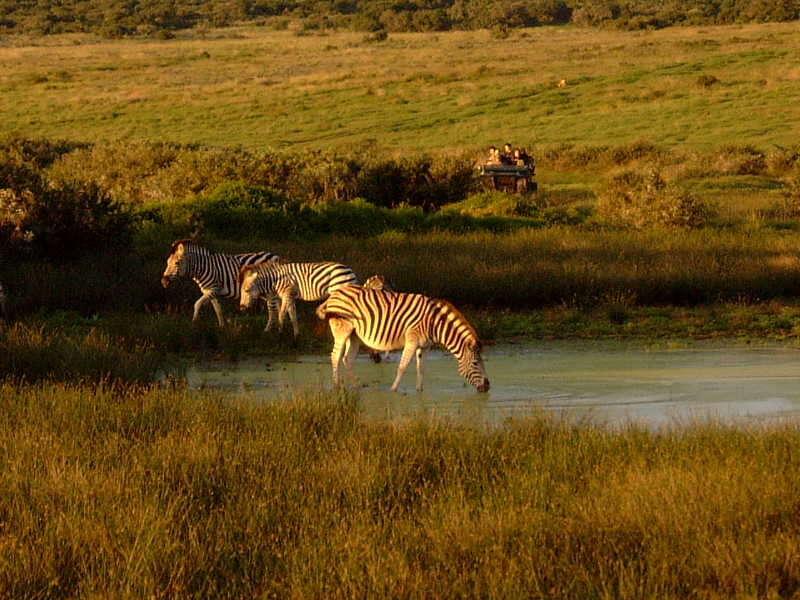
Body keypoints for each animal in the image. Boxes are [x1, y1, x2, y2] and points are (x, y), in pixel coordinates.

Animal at [316, 286, 490, 394]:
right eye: (475, 363)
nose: (488, 387)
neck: (434, 324)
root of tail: (334, 294)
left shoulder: (424, 347)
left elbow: (421, 368)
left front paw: (420, 391)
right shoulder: (412, 340)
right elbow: (403, 366)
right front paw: (393, 390)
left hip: (354, 335)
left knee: (347, 358)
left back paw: (356, 386)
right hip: (342, 330)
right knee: (335, 357)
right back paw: (337, 387)